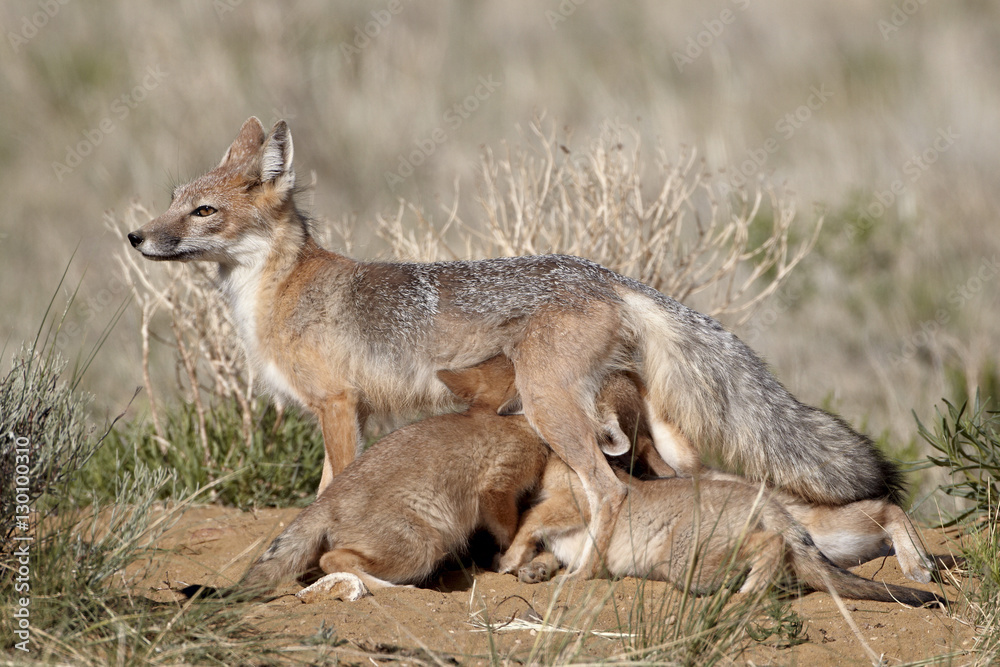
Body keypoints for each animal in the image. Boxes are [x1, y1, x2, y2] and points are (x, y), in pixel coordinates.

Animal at [129, 116, 917, 580]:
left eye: (203, 212)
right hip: (650, 427)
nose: (136, 235)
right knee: (690, 481)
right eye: (172, 201)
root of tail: (607, 273)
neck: (279, 288)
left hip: (548, 406)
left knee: (607, 491)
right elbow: (324, 491)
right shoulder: (348, 412)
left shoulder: (338, 406)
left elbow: (332, 489)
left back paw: (582, 574)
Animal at [497, 456, 947, 608]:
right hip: (830, 542)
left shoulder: (573, 503)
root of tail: (767, 502)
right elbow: (543, 549)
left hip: (687, 565)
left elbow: (529, 524)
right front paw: (533, 570)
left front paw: (507, 561)